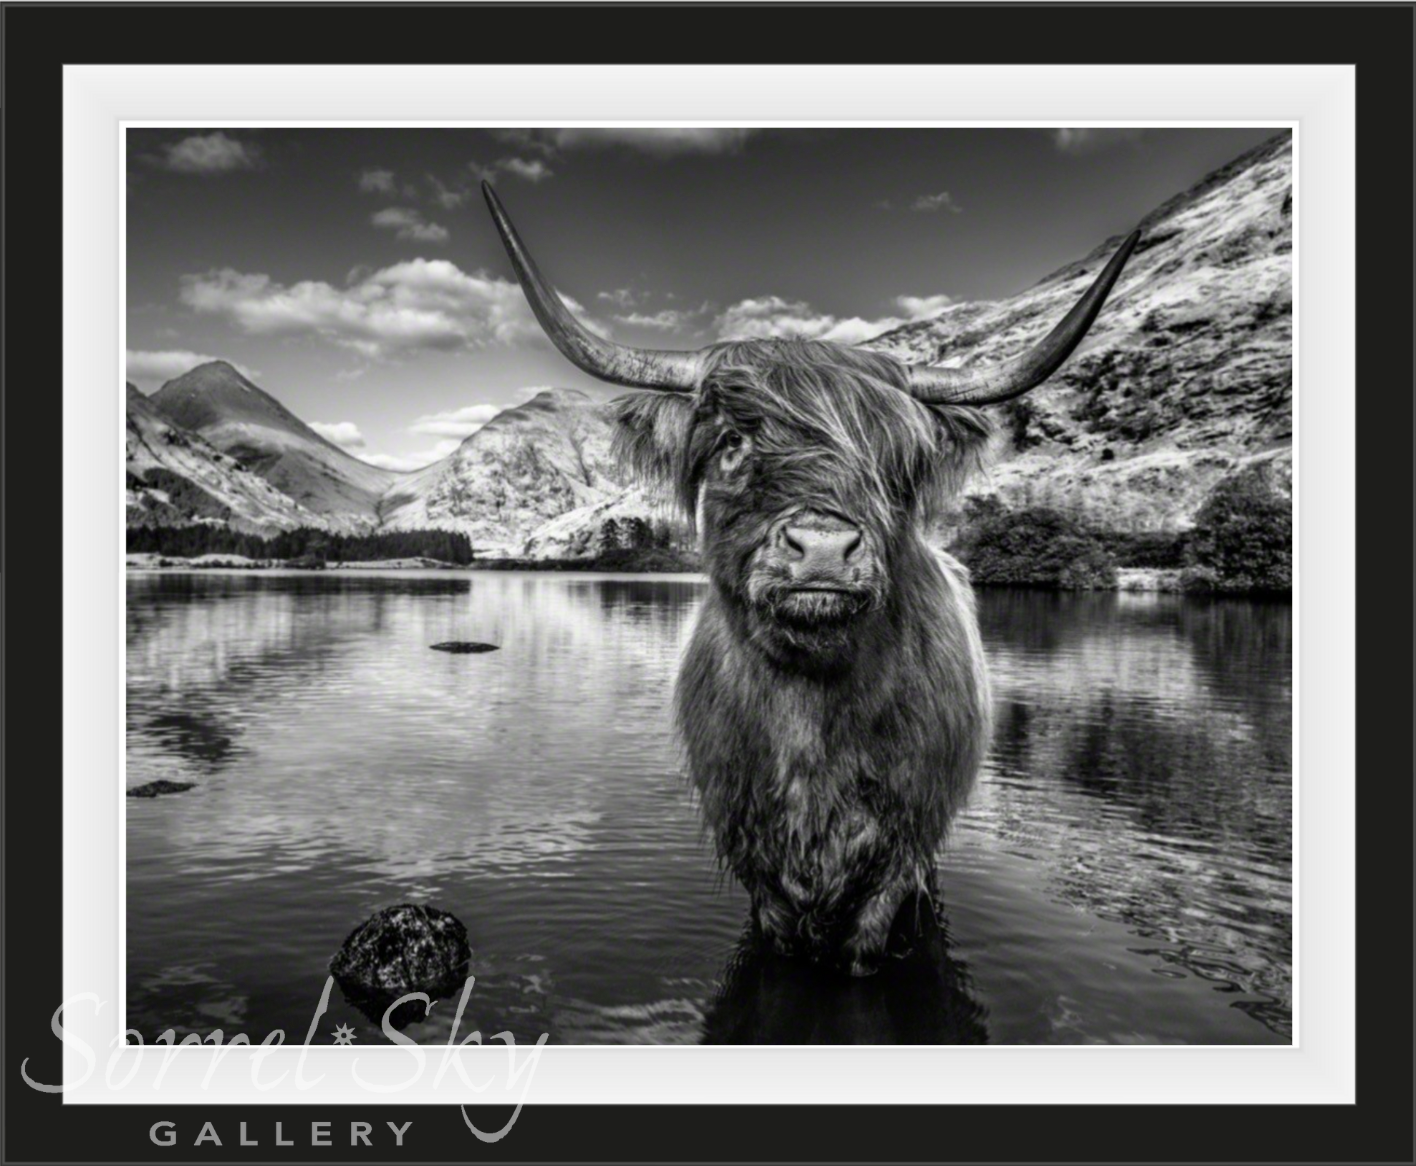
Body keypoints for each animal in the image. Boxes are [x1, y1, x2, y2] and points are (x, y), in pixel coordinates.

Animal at [487, 182, 1138, 969]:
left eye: (898, 464)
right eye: (732, 442)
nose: (824, 549)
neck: (812, 719)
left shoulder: (900, 853)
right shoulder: (753, 859)